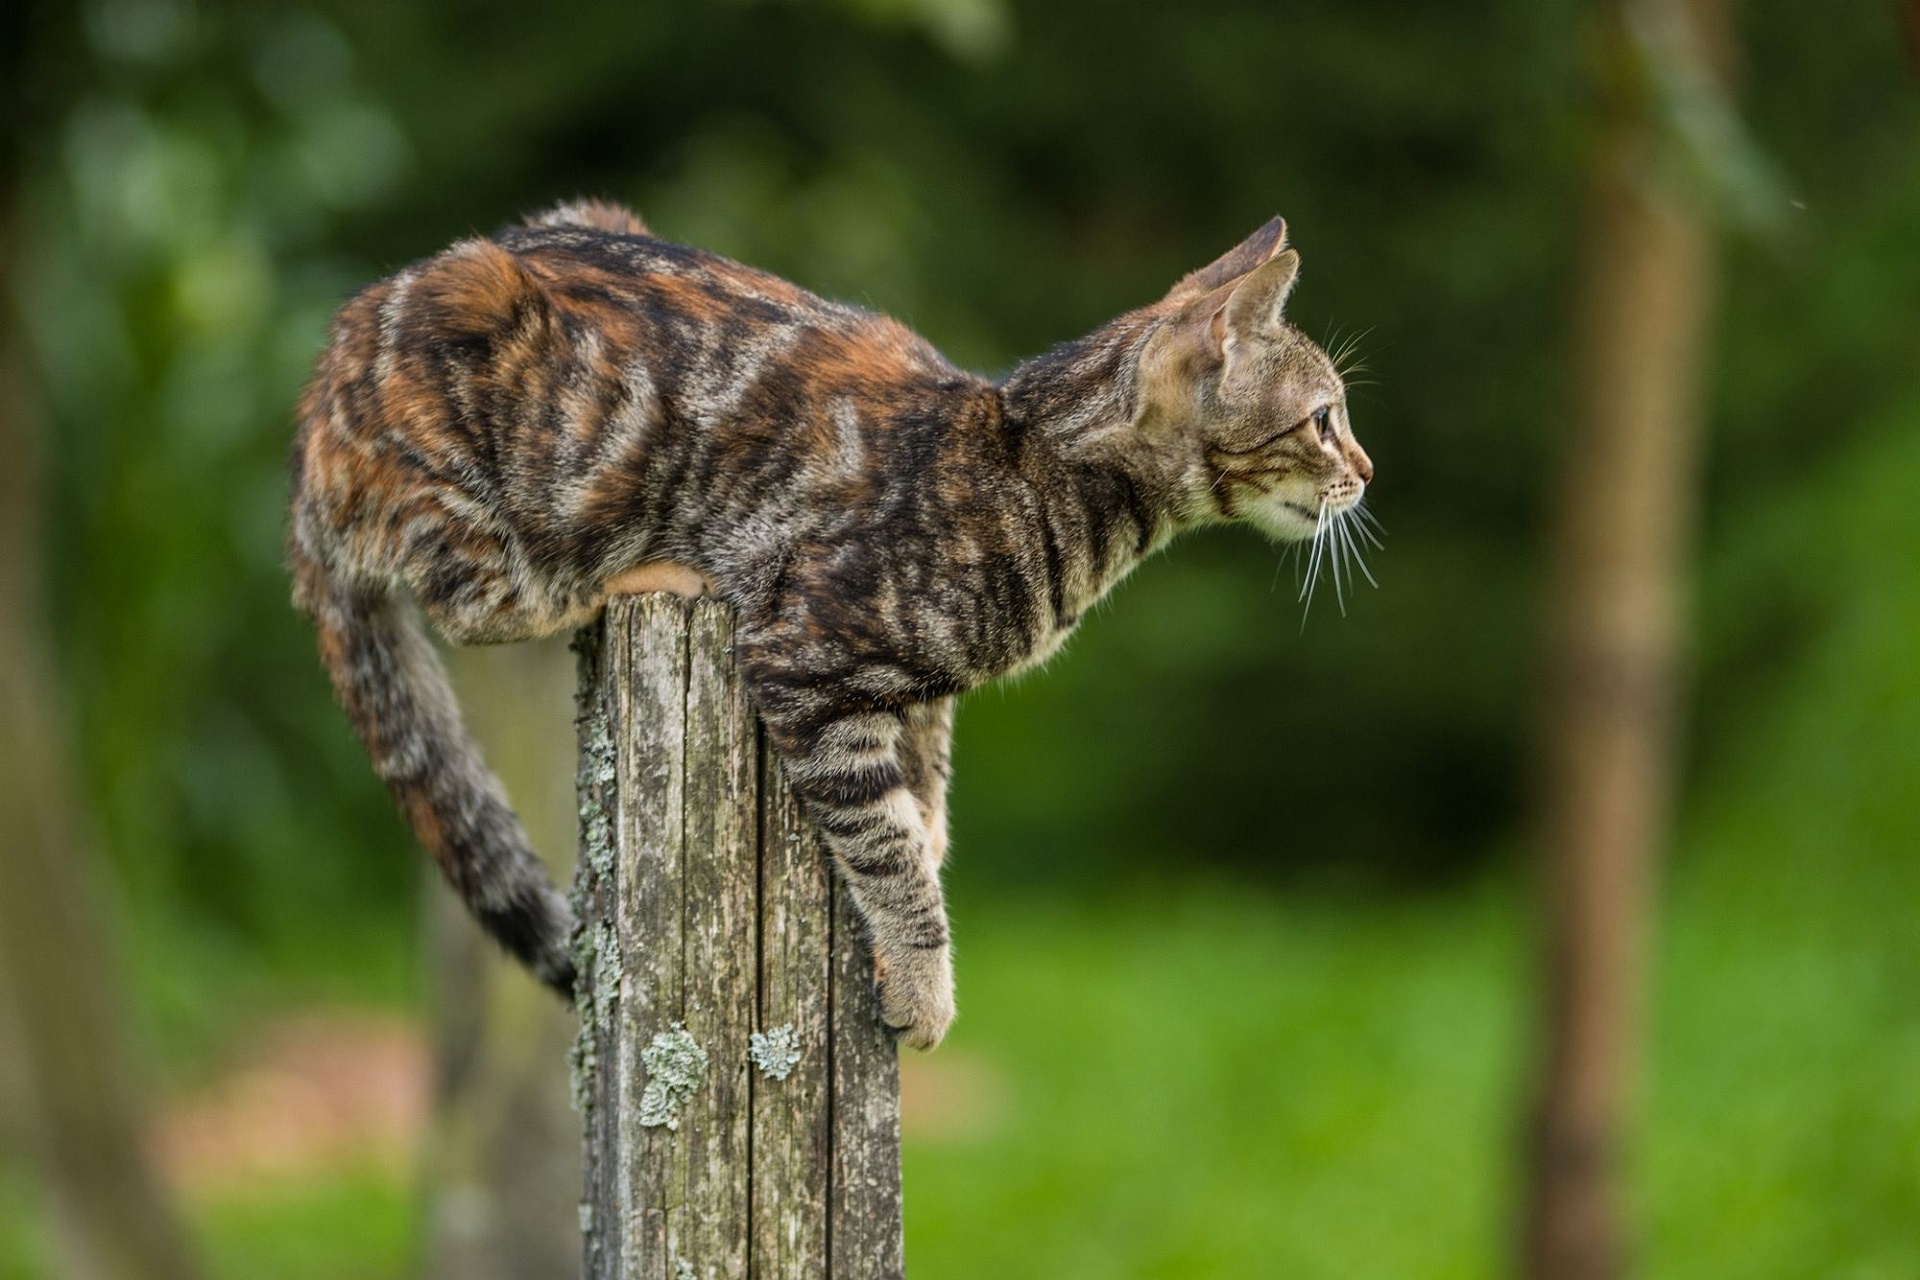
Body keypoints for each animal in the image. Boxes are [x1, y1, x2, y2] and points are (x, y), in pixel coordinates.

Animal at [280, 195, 1367, 1043]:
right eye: (1324, 420)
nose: (1365, 471)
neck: (1041, 476)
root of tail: (314, 419)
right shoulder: (805, 658)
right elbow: (885, 846)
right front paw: (923, 974)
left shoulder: (925, 694)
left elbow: (925, 799)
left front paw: (927, 857)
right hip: (488, 449)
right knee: (474, 600)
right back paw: (630, 574)